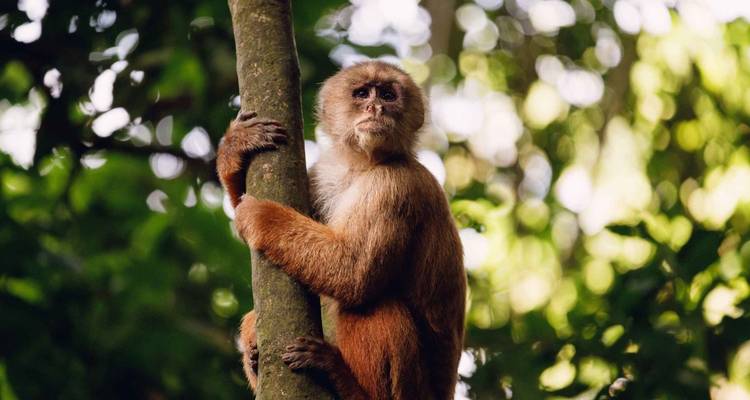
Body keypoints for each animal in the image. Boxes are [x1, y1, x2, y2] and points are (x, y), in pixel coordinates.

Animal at [217, 61, 466, 399]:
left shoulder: (396, 185)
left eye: (388, 95)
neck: (363, 165)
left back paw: (343, 380)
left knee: (373, 306)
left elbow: (352, 273)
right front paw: (235, 148)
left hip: (413, 392)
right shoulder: (323, 176)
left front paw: (261, 215)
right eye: (362, 94)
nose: (376, 107)